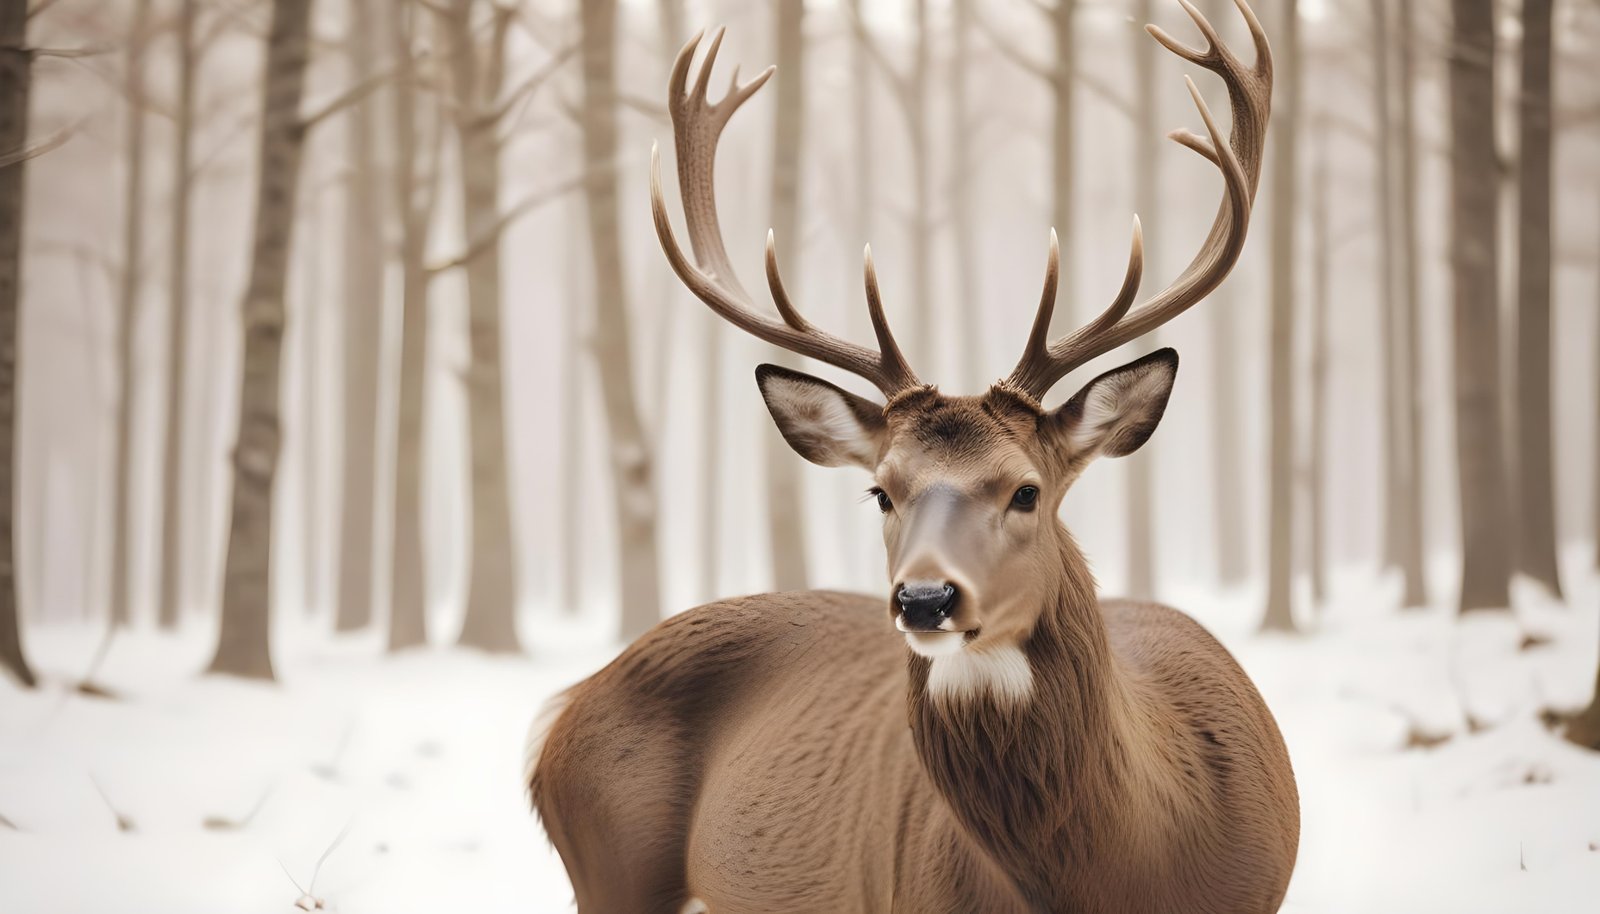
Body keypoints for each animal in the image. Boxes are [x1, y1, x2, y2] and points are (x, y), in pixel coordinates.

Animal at [528, 2, 1296, 911]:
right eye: (881, 493)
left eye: (1028, 491)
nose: (924, 598)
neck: (1122, 876)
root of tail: (558, 718)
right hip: (606, 869)